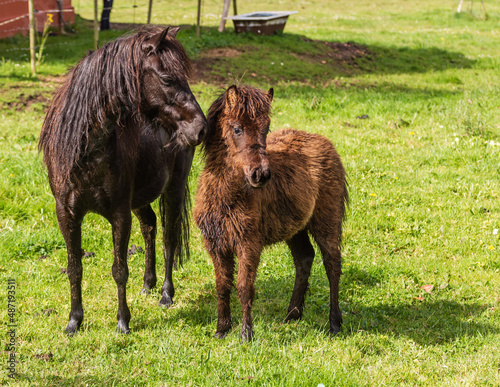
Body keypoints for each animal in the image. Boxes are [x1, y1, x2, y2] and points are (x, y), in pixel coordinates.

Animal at [38, 26, 207, 336]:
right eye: (167, 78)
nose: (201, 128)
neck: (87, 150)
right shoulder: (66, 213)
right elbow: (74, 268)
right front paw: (74, 321)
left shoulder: (119, 213)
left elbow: (119, 269)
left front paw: (123, 322)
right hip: (141, 197)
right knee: (150, 225)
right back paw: (148, 284)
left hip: (173, 189)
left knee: (169, 237)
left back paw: (165, 294)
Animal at [194, 86, 348, 342]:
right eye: (237, 128)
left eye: (266, 128)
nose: (261, 175)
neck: (228, 196)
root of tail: (324, 142)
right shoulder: (216, 244)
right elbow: (222, 285)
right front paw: (221, 329)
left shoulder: (248, 243)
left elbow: (244, 288)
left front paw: (246, 334)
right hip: (296, 228)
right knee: (304, 258)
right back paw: (292, 315)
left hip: (326, 221)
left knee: (332, 263)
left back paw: (335, 323)